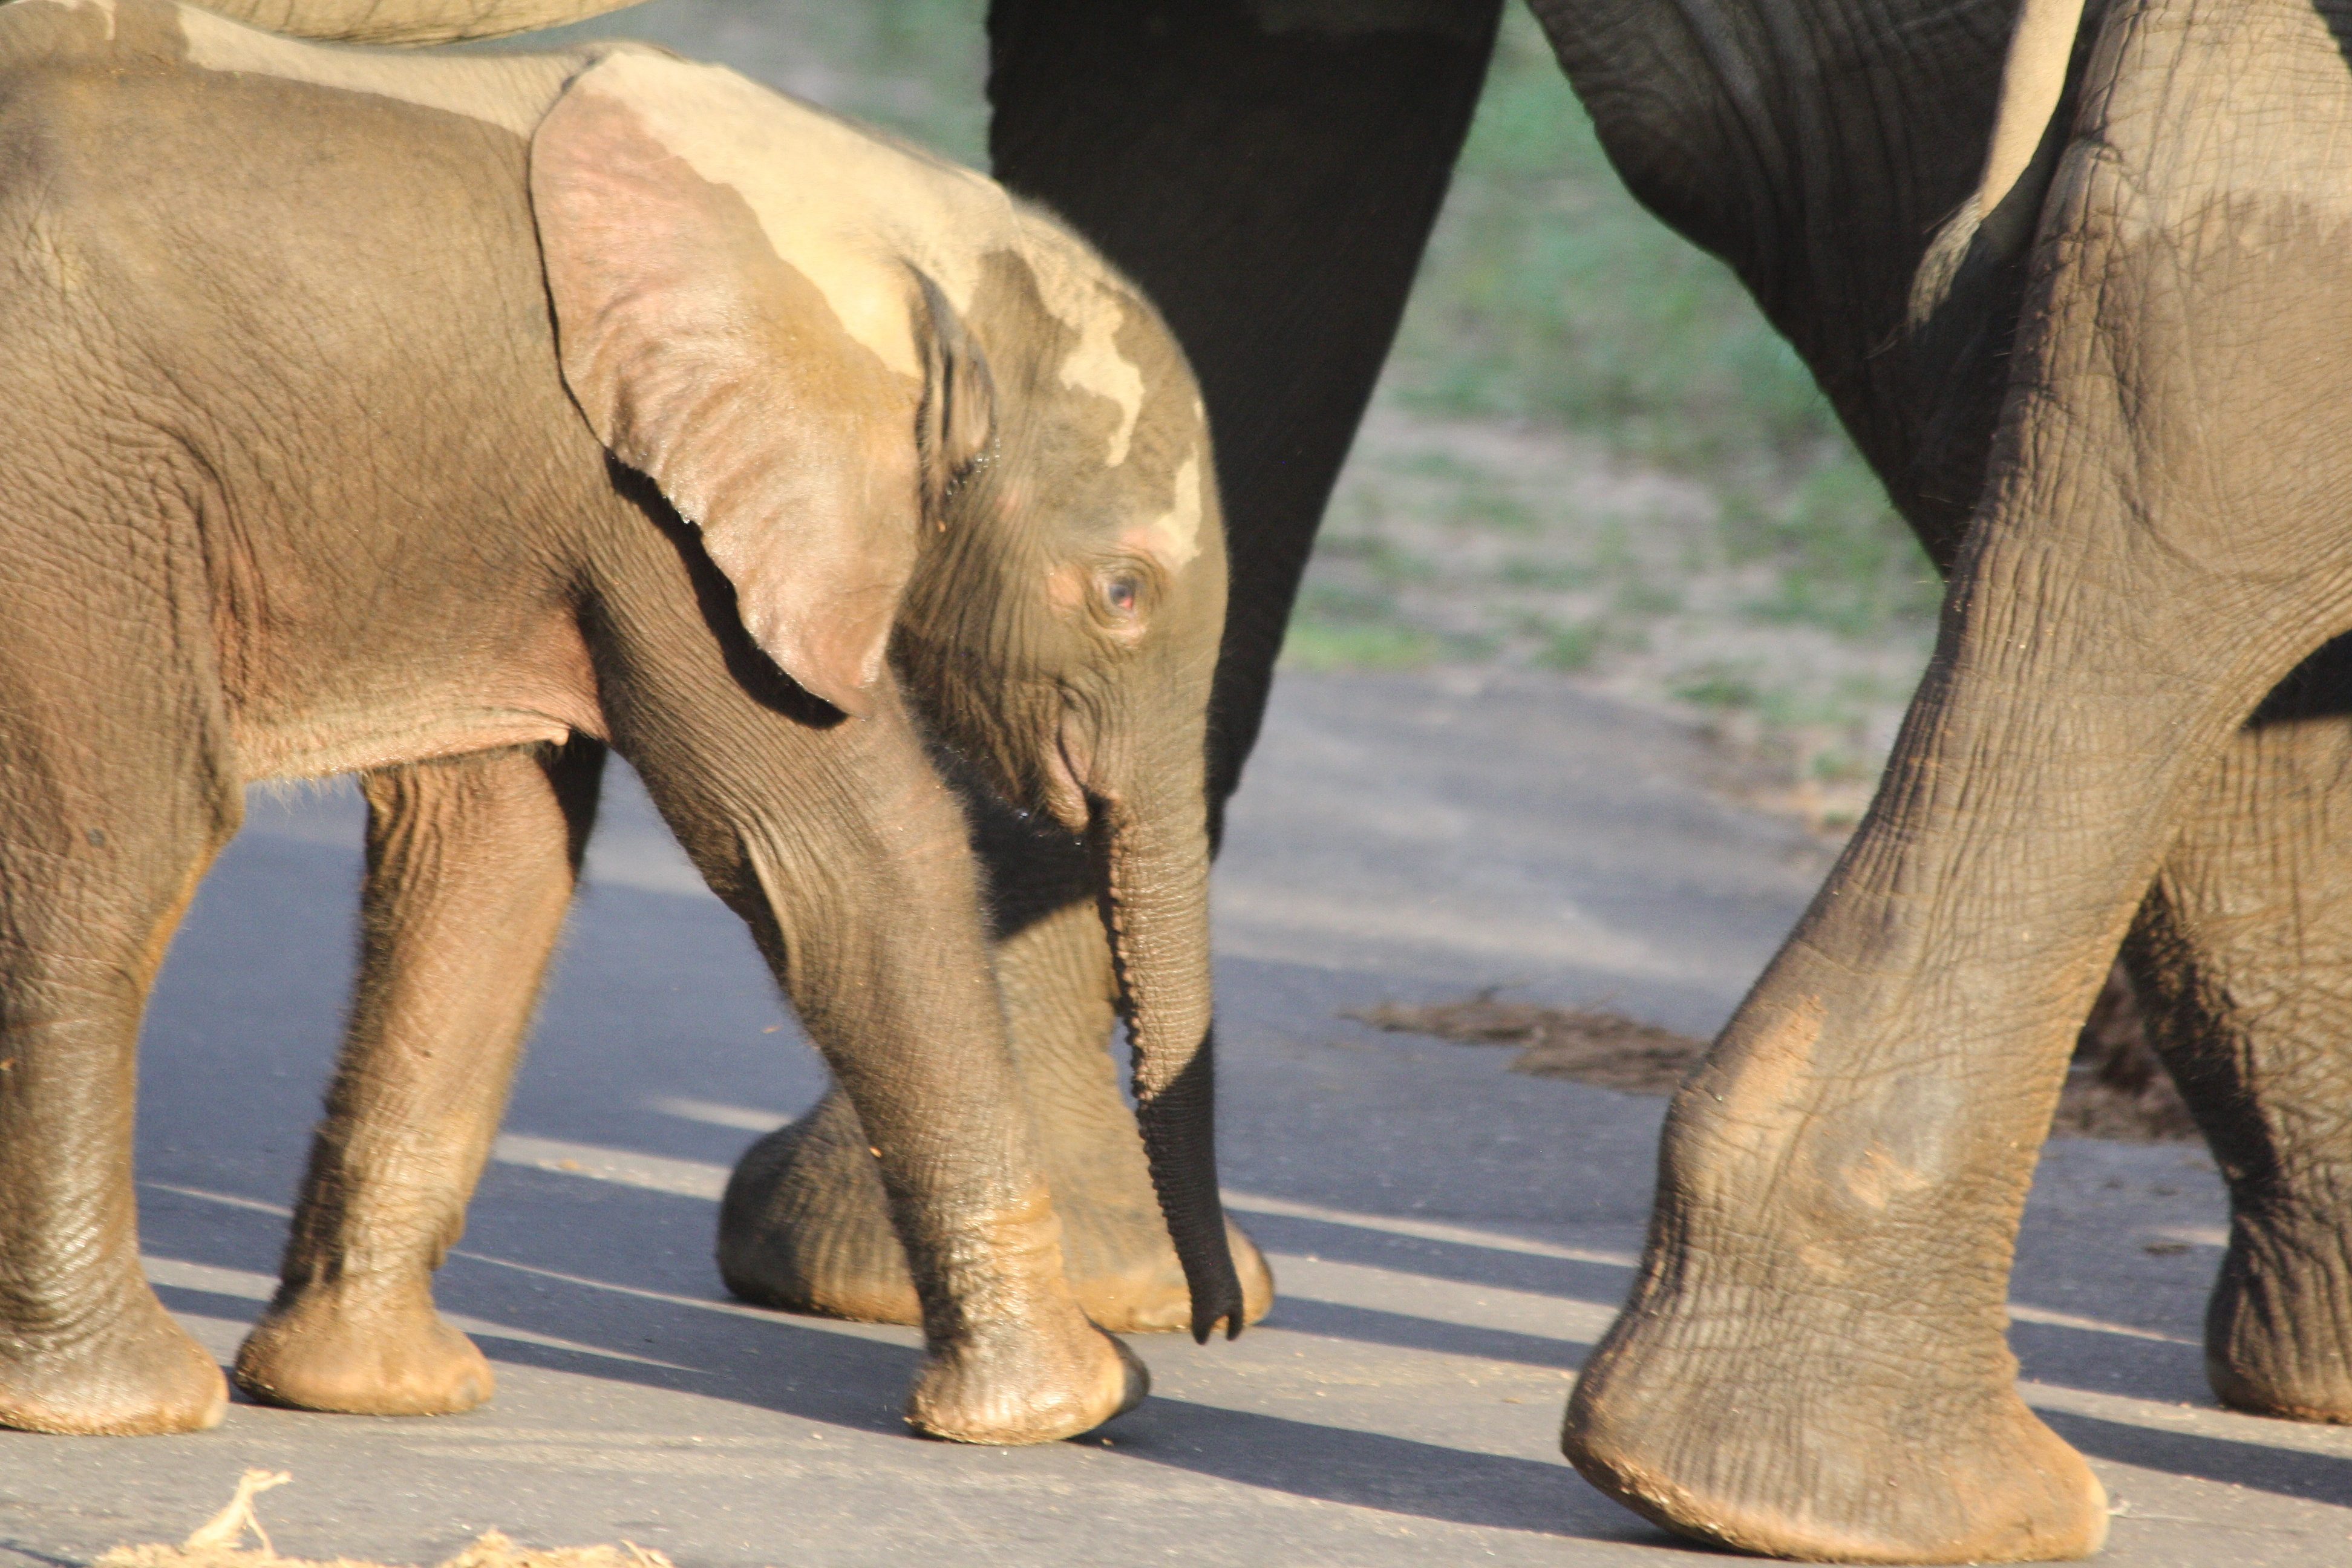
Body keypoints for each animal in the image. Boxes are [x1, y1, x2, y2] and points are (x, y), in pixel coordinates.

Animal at [0, 0, 1251, 1448]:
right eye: (1123, 594)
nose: (1215, 1322)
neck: (883, 219)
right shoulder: (654, 514)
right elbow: (849, 855)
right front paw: (1072, 1402)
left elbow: (493, 856)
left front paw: (376, 1393)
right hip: (72, 466)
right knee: (116, 847)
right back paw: (117, 1402)